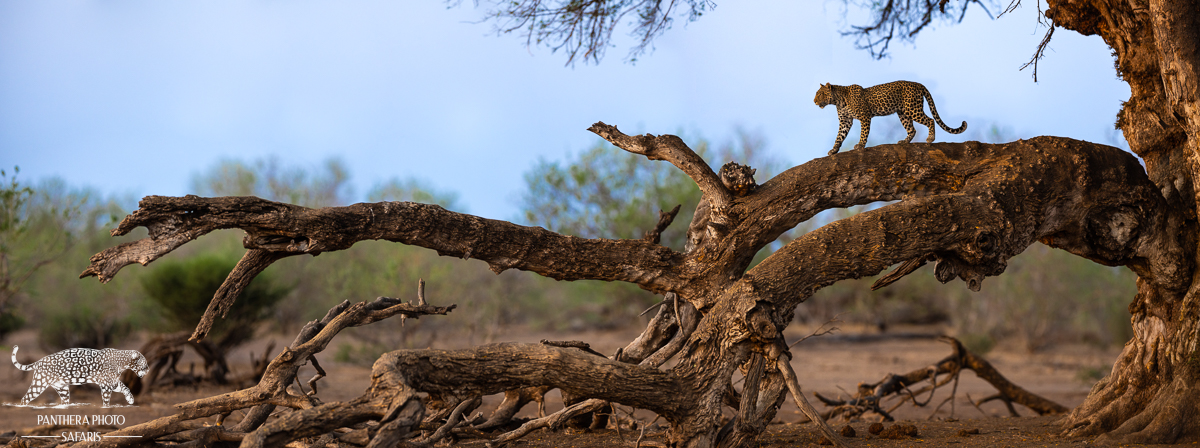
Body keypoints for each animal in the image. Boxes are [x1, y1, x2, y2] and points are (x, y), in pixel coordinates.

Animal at [11, 345, 148, 407]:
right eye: (145, 364)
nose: (148, 370)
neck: (122, 362)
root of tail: (39, 361)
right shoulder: (106, 385)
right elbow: (106, 399)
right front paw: (106, 407)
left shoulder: (112, 382)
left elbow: (125, 387)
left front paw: (130, 399)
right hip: (39, 384)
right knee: (25, 398)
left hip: (62, 389)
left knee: (64, 401)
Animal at [814, 80, 967, 155]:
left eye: (820, 94)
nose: (814, 101)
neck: (838, 101)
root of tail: (918, 84)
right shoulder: (845, 121)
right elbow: (839, 137)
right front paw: (834, 150)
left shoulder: (864, 116)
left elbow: (864, 133)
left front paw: (860, 145)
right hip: (903, 113)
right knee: (912, 129)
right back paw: (905, 142)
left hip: (912, 109)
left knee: (930, 120)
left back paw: (930, 138)